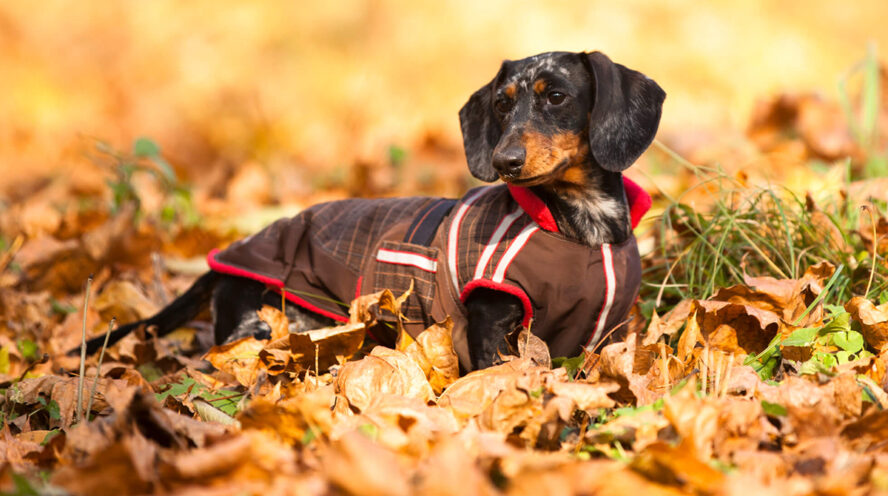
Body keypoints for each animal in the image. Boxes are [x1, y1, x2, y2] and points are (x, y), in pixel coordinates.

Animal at [80, 52, 664, 370]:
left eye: (556, 96)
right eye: (502, 103)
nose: (503, 161)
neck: (578, 231)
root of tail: (222, 262)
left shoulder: (609, 330)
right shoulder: (490, 320)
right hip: (261, 323)